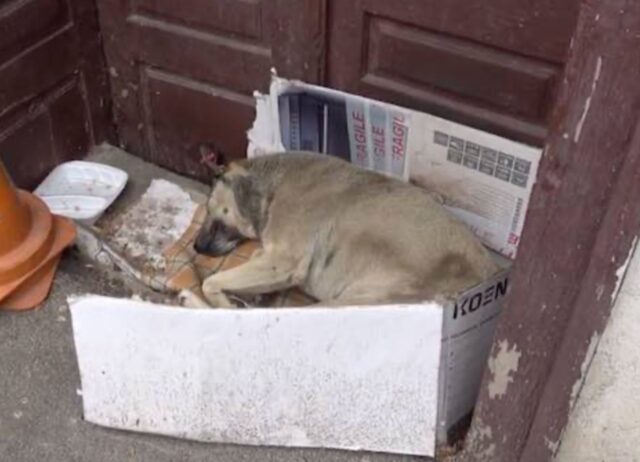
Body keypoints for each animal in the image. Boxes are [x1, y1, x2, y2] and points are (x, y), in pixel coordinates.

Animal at [178, 153, 498, 308]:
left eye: (210, 208)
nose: (195, 247)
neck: (270, 187)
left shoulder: (282, 261)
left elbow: (211, 283)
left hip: (346, 303)